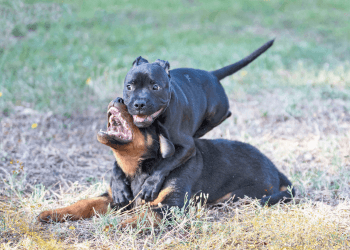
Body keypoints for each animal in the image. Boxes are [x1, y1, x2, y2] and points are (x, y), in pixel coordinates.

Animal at [37, 99, 296, 227]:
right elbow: (83, 203)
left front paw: (112, 226)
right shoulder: (116, 198)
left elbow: (145, 216)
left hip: (239, 196)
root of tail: (276, 170)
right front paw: (52, 213)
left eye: (140, 115)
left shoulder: (171, 207)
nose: (117, 98)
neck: (141, 169)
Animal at [113, 39, 274, 203]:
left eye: (155, 87)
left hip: (216, 111)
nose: (139, 104)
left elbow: (164, 165)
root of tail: (211, 74)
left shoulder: (187, 147)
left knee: (223, 116)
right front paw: (119, 188)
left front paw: (150, 184)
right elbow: (117, 166)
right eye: (129, 86)